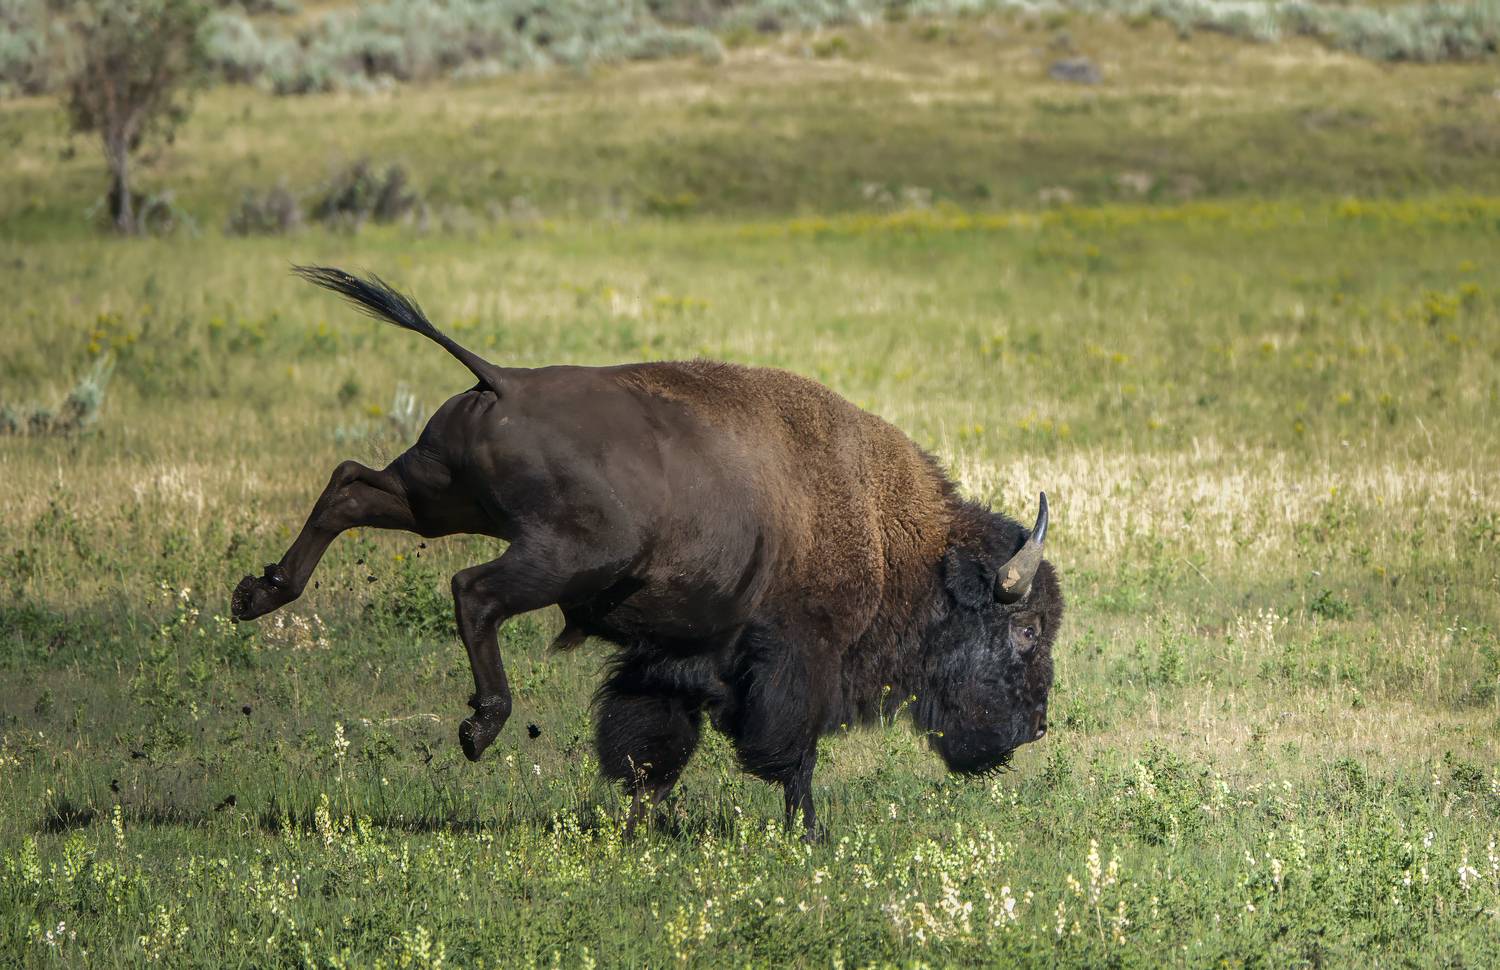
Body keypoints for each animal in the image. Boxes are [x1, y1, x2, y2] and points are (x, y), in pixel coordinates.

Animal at [232, 267, 1063, 840]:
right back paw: (480, 726)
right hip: (566, 556)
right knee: (473, 591)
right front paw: (809, 834)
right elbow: (790, 752)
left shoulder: (675, 660)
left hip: (438, 498)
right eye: (1024, 631)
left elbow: (650, 743)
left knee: (349, 487)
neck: (890, 531)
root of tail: (507, 382)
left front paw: (641, 823)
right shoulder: (800, 658)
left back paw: (257, 594)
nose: (1038, 726)